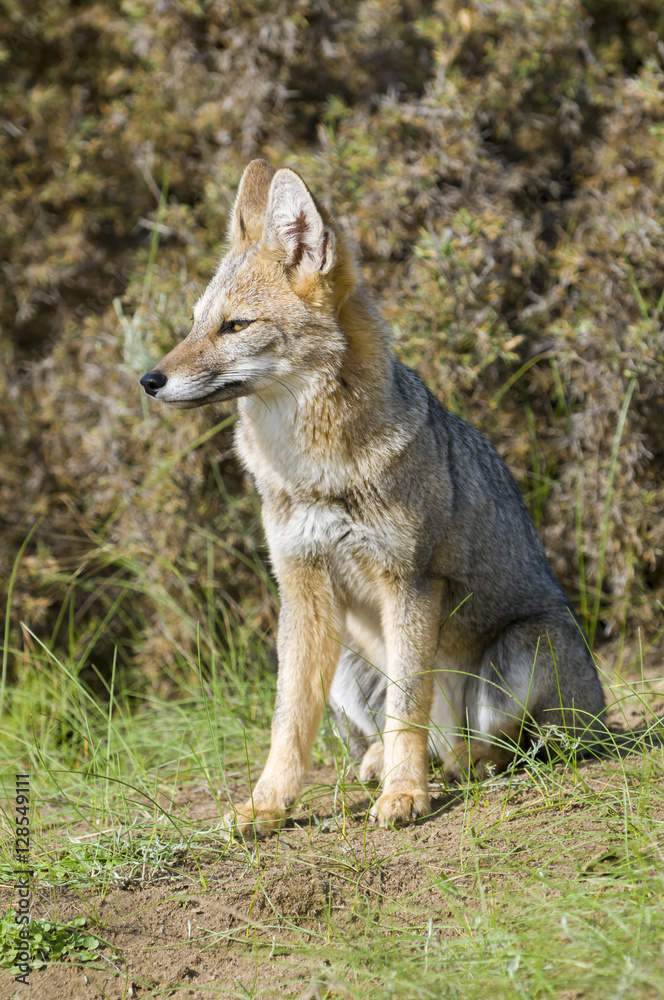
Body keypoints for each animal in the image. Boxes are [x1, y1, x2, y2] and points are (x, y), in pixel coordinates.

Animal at [141, 160, 608, 832]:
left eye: (235, 326)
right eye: (196, 324)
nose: (148, 380)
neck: (313, 472)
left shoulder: (409, 580)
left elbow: (407, 704)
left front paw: (405, 794)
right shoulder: (302, 587)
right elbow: (288, 721)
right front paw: (267, 804)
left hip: (518, 656)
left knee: (496, 749)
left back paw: (450, 766)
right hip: (347, 662)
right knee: (401, 735)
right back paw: (382, 764)